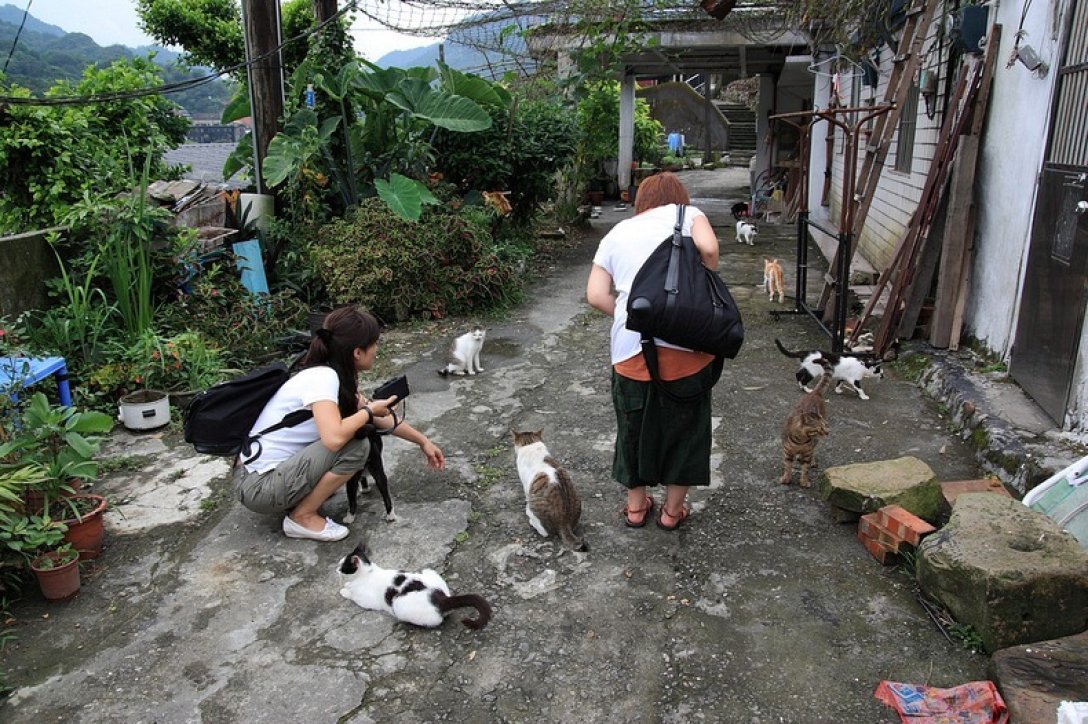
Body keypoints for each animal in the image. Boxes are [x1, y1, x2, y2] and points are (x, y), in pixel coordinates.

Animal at [337, 540, 491, 631]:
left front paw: (344, 590)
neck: (367, 572)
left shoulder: (366, 601)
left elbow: (351, 595)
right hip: (428, 571)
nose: (336, 569)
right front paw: (347, 585)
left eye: (342, 566)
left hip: (398, 604)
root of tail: (440, 597)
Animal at [783, 359, 831, 487]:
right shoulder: (787, 452)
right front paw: (786, 478)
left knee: (813, 451)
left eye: (825, 425)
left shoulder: (808, 452)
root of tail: (814, 393)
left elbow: (805, 469)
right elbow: (788, 466)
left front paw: (804, 481)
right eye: (820, 428)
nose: (828, 432)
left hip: (815, 442)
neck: (801, 441)